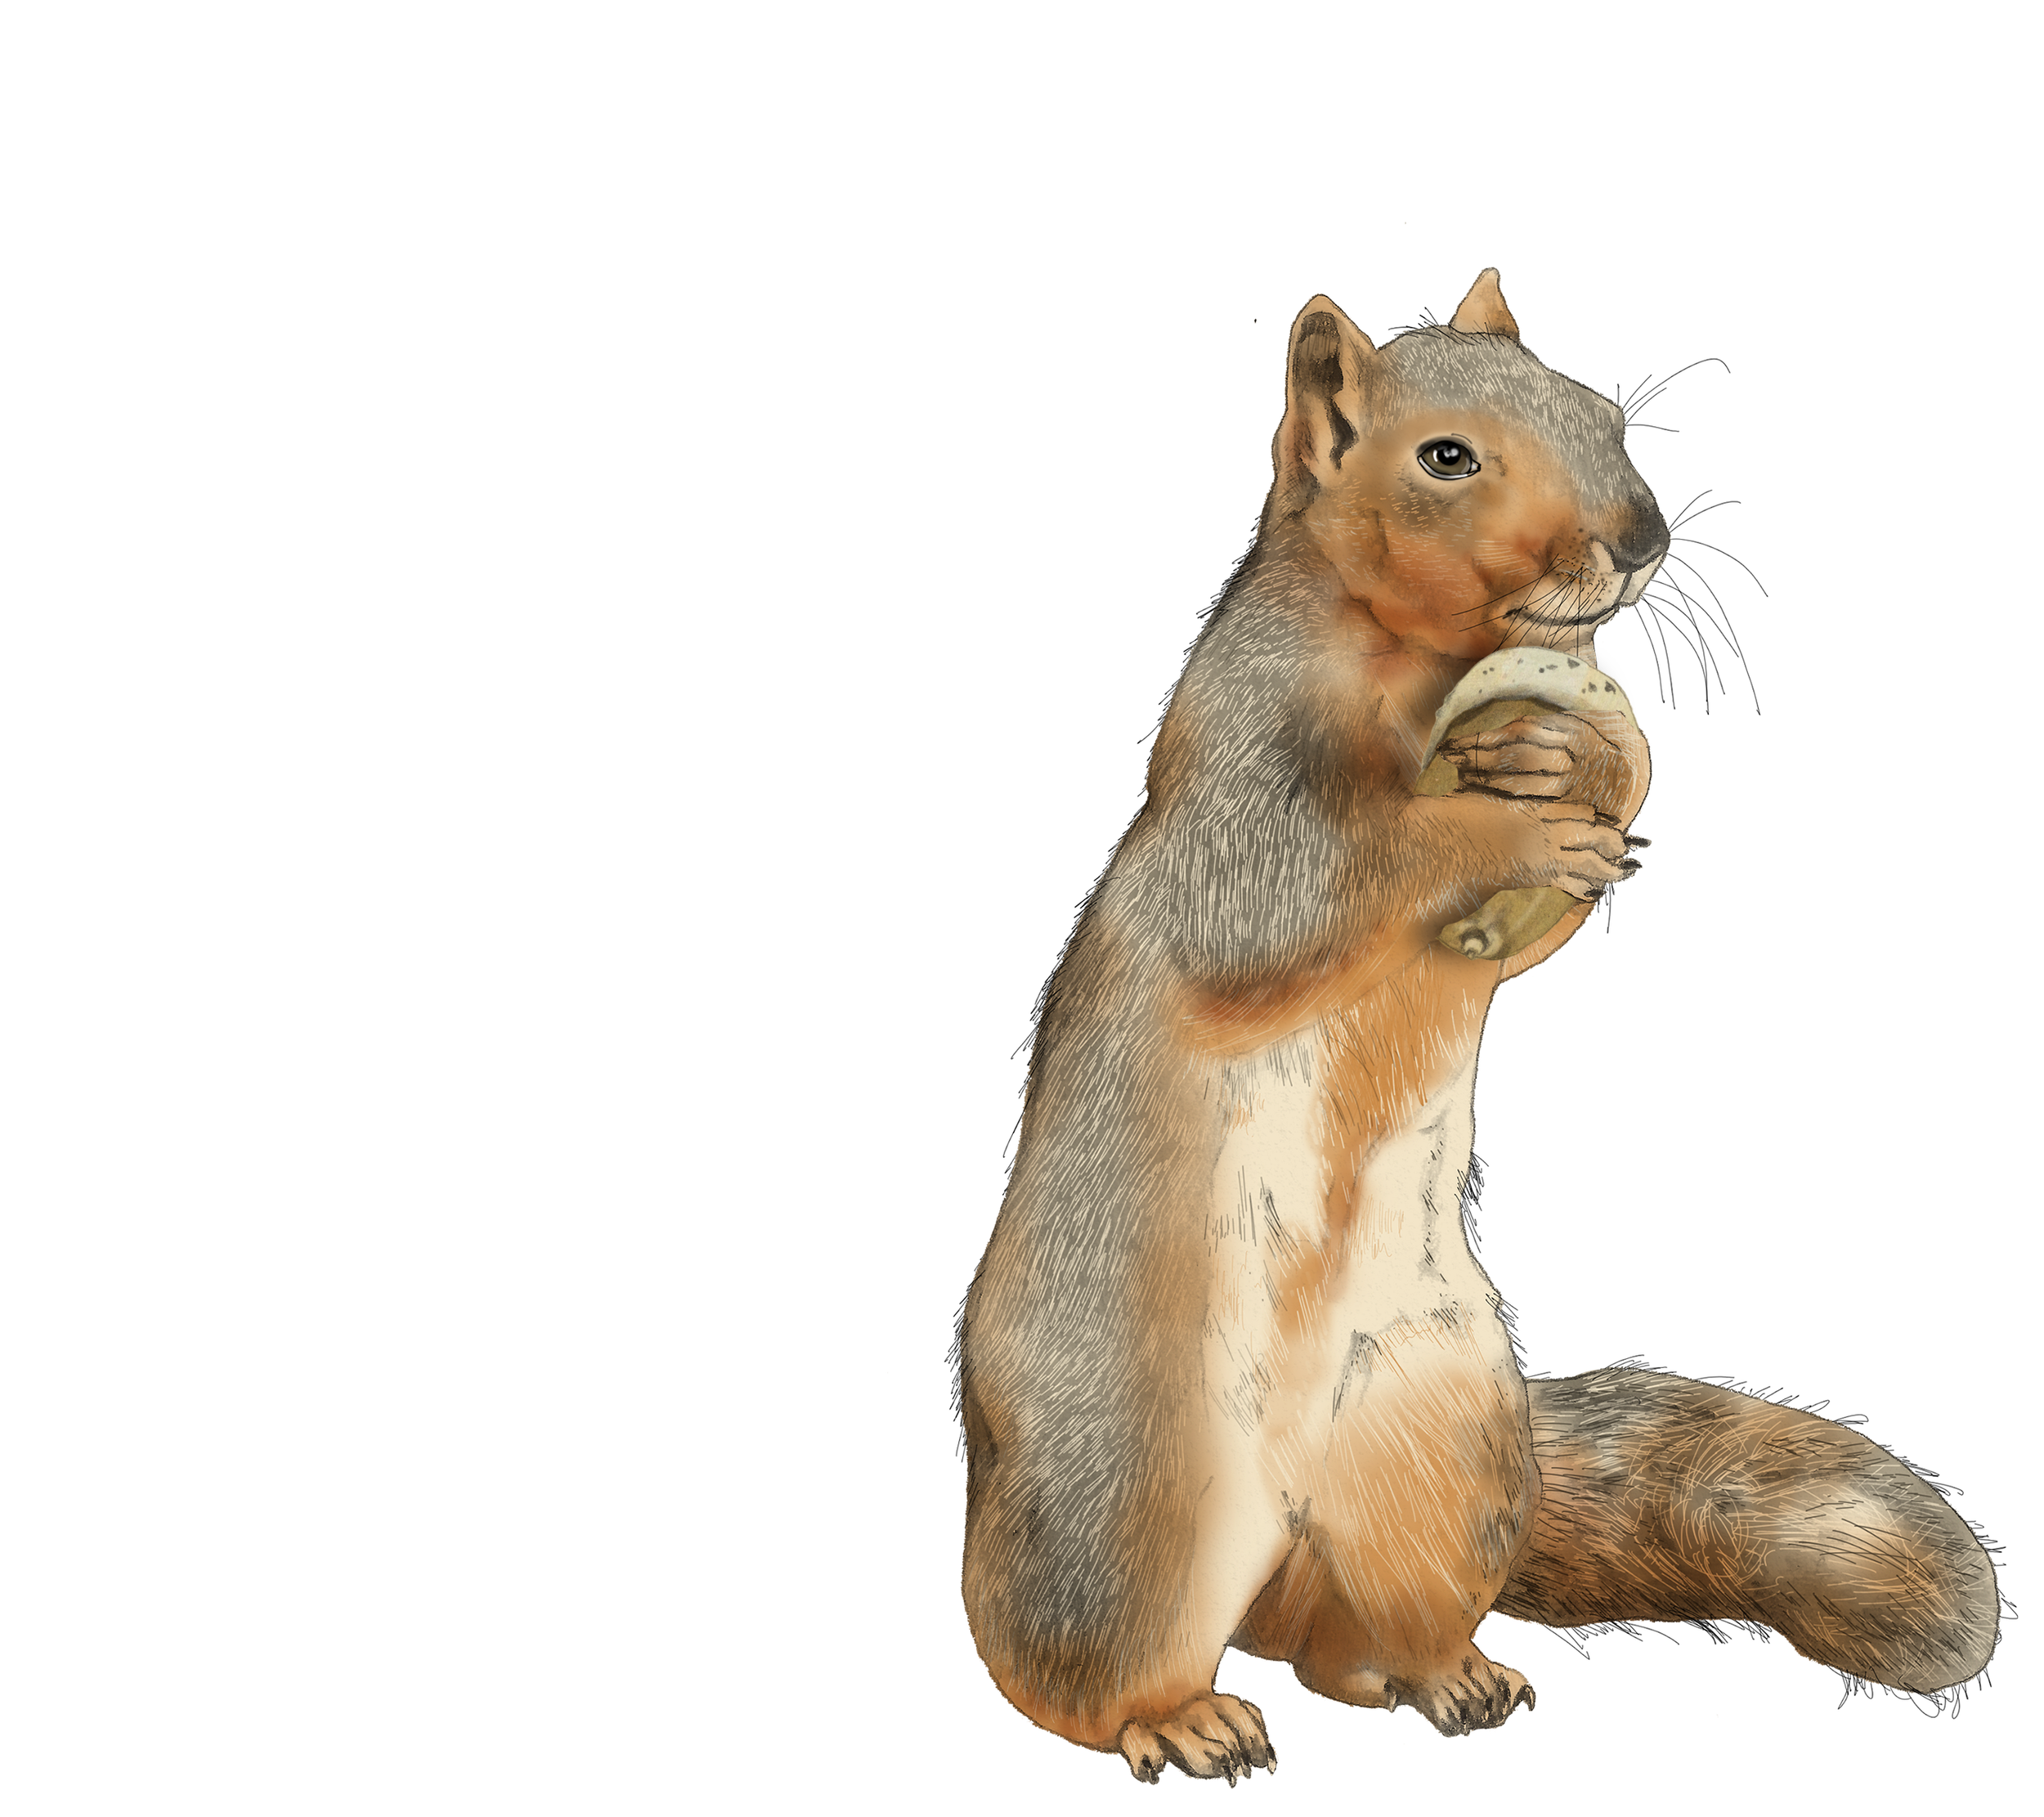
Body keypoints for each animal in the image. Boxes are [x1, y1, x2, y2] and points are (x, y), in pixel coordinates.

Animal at [956, 273, 2001, 1784]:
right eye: (1444, 458)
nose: (1643, 524)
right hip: (1127, 1499)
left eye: (1602, 403)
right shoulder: (1237, 780)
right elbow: (1301, 889)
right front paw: (1494, 825)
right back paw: (1175, 1720)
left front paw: (1572, 765)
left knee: (1352, 1631)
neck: (1421, 661)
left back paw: (1448, 1673)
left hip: (1439, 1441)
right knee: (1071, 1649)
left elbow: (1576, 855)